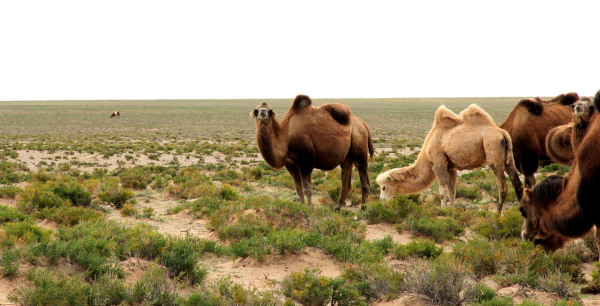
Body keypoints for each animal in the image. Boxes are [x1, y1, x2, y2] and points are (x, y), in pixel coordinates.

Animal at [378, 103, 524, 213]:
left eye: (384, 187)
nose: (382, 200)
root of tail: (503, 134)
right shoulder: (451, 166)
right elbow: (452, 191)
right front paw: (452, 212)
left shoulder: (439, 162)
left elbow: (443, 191)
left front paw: (442, 211)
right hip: (509, 159)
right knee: (517, 184)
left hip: (493, 152)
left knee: (503, 187)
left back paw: (497, 214)